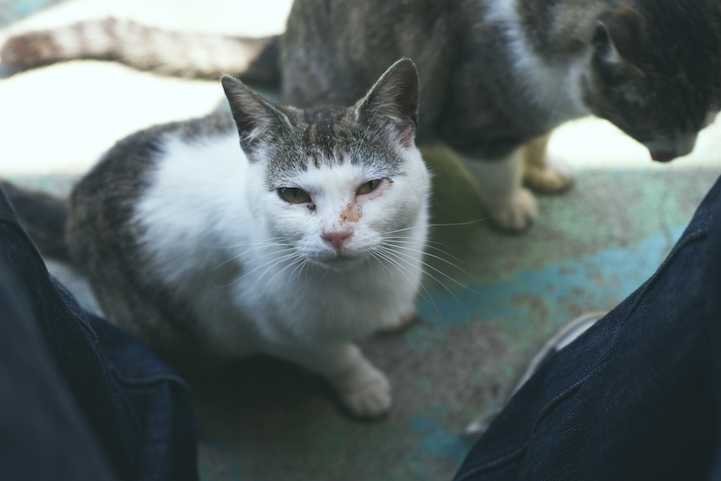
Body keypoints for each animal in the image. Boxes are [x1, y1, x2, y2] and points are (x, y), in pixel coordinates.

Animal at [5, 0, 720, 232]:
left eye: (706, 117)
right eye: (656, 119)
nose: (681, 153)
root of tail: (287, 37)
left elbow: (537, 143)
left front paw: (545, 168)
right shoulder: (477, 121)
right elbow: (498, 168)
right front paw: (514, 203)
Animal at [5, 58, 430, 418]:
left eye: (370, 186)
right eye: (293, 195)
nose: (336, 233)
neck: (359, 279)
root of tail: (75, 203)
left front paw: (394, 313)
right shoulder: (267, 324)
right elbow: (334, 355)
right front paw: (362, 385)